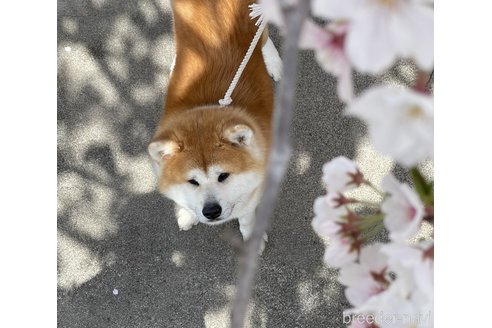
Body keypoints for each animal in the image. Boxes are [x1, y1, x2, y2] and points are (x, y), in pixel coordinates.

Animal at [148, 0, 282, 251]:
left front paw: (251, 239)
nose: (211, 211)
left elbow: (246, 218)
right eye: (192, 181)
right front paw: (187, 213)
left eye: (223, 176)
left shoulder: (253, 190)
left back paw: (273, 60)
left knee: (264, 34)